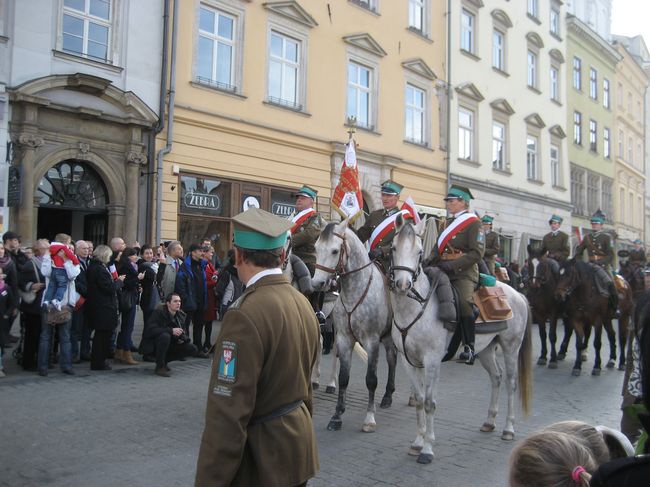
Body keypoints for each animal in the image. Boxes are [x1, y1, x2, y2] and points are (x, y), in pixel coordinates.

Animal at [312, 220, 398, 430]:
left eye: (335, 250)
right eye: (316, 248)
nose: (317, 283)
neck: (355, 291)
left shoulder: (372, 341)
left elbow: (371, 380)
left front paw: (369, 418)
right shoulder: (344, 338)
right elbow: (344, 378)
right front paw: (336, 416)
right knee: (392, 359)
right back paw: (387, 396)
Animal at [390, 217, 532, 466]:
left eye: (419, 252)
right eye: (394, 248)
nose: (403, 285)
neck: (415, 308)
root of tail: (518, 294)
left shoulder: (432, 360)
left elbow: (430, 402)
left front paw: (427, 449)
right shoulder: (409, 361)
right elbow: (419, 399)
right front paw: (417, 443)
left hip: (510, 347)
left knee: (511, 383)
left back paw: (508, 429)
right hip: (486, 350)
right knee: (496, 378)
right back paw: (489, 422)